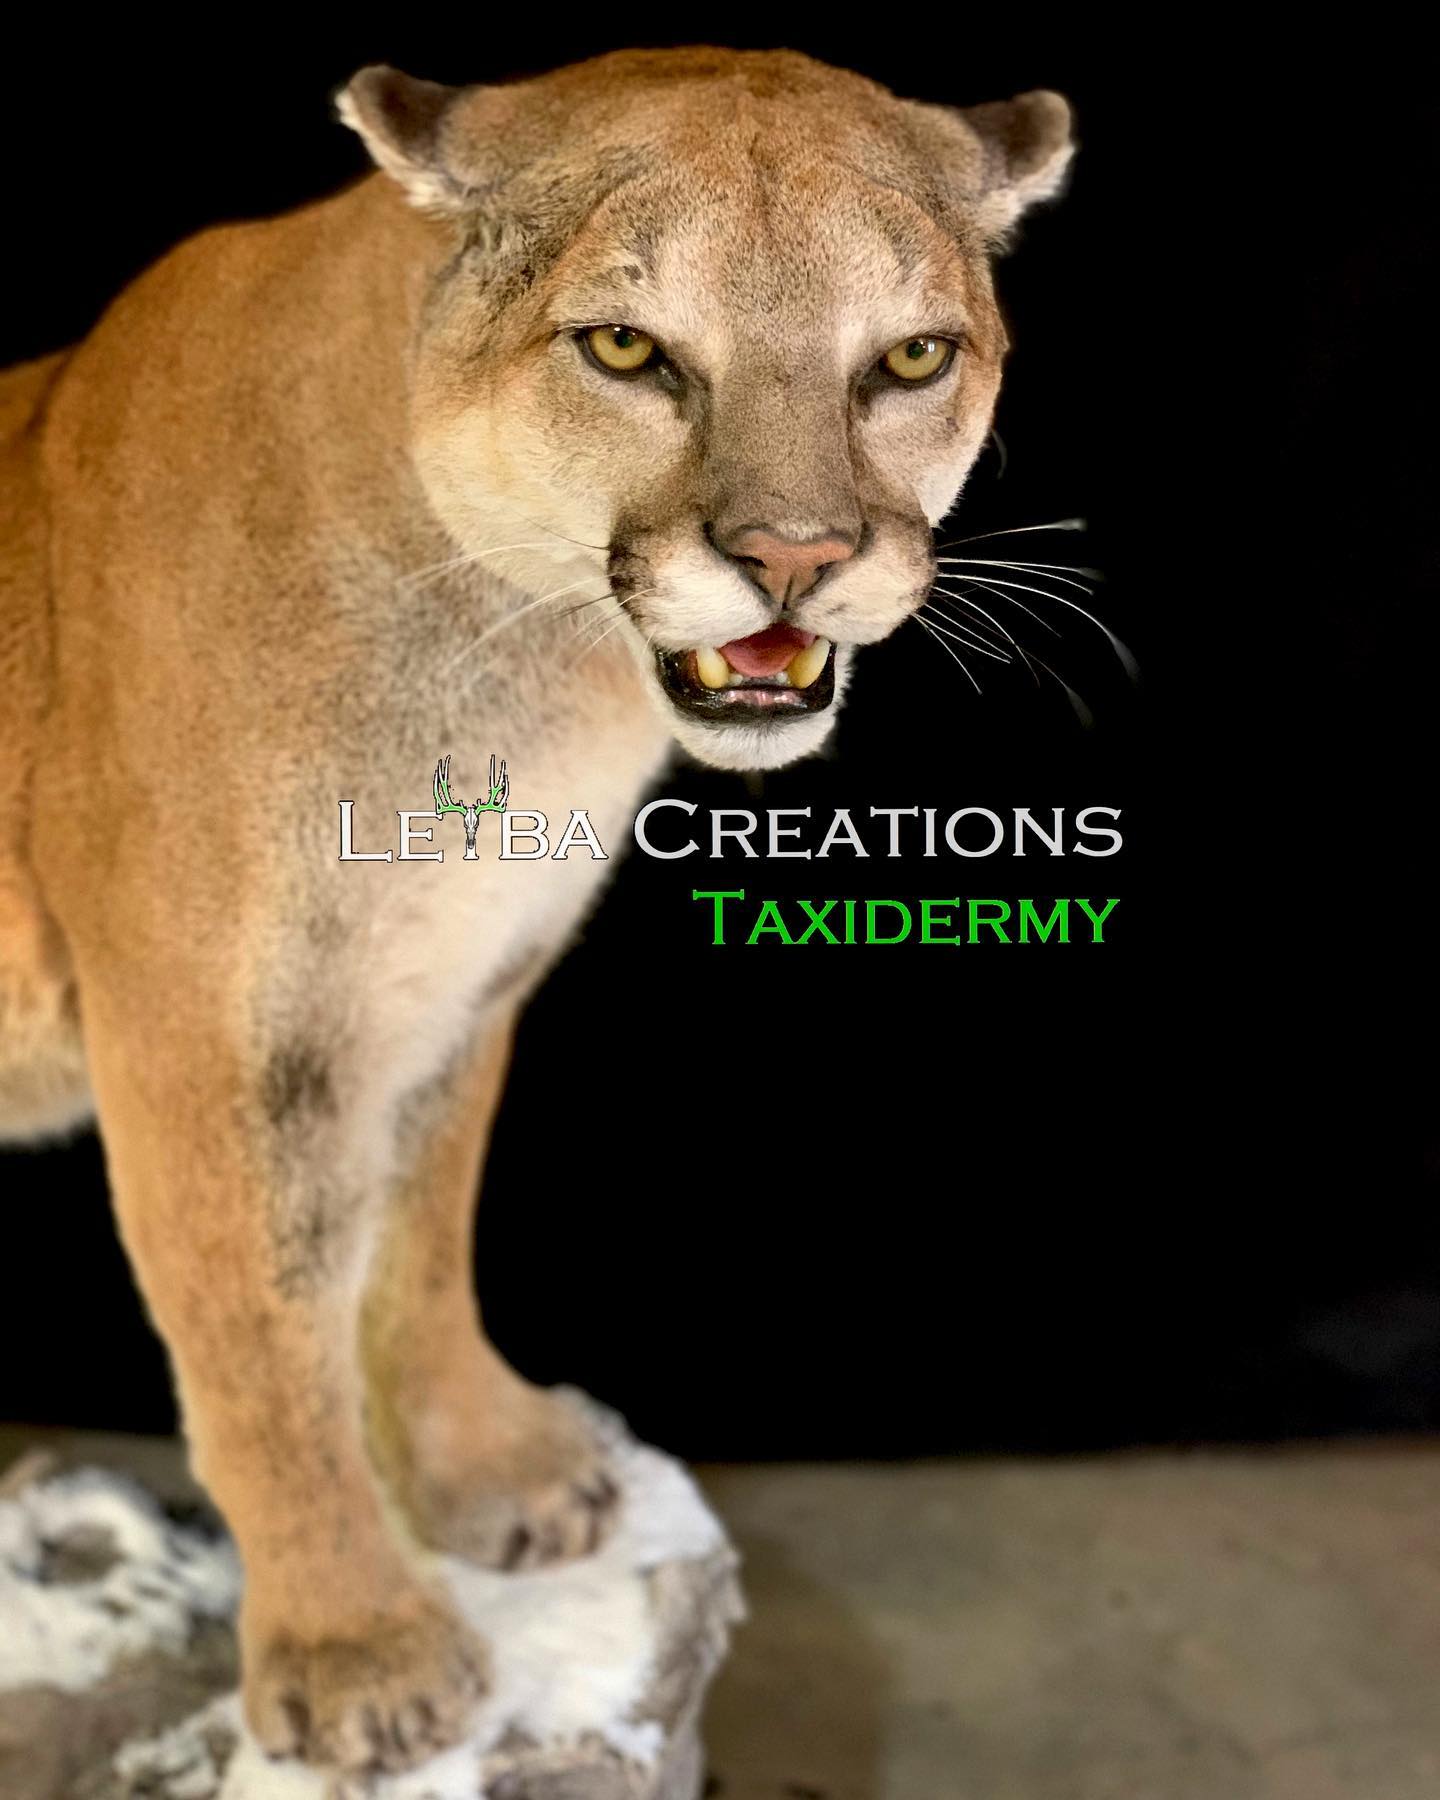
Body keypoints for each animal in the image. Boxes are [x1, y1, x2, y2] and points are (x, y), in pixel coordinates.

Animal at [0, 48, 1071, 1773]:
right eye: (626, 348)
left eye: (911, 357)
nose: (797, 557)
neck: (517, 648)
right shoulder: (213, 1050)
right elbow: (261, 1343)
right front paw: (359, 1656)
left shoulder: (454, 992)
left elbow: (422, 1245)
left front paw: (487, 1479)